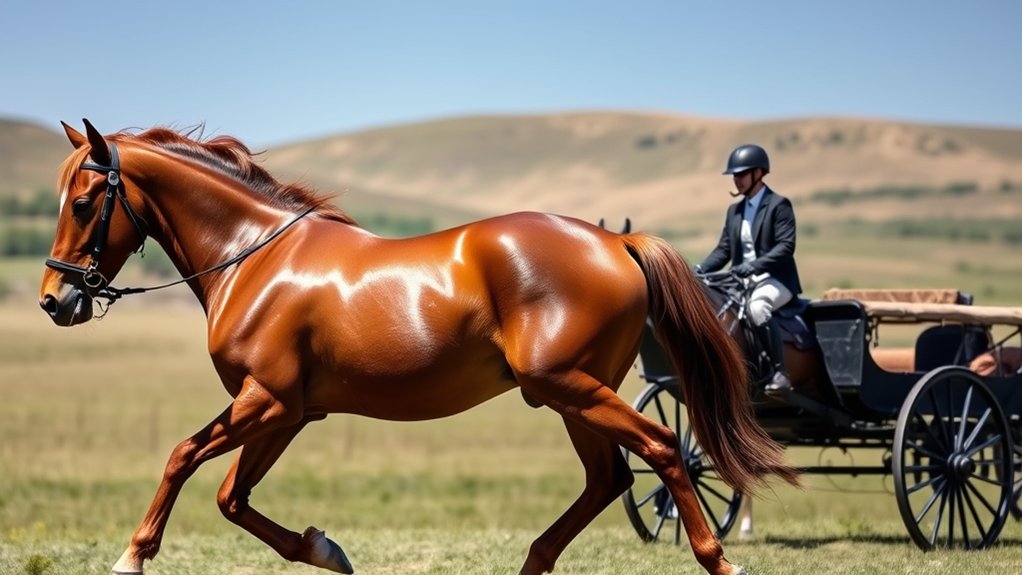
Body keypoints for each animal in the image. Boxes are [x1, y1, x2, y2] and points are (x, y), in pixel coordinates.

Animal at [39, 119, 799, 575]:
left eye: (83, 203)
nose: (54, 299)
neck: (254, 258)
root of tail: (616, 242)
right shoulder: (290, 411)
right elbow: (231, 495)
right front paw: (326, 548)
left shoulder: (268, 400)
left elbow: (182, 457)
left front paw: (133, 556)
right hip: (573, 395)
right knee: (608, 478)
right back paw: (533, 562)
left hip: (569, 388)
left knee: (665, 450)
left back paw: (718, 558)